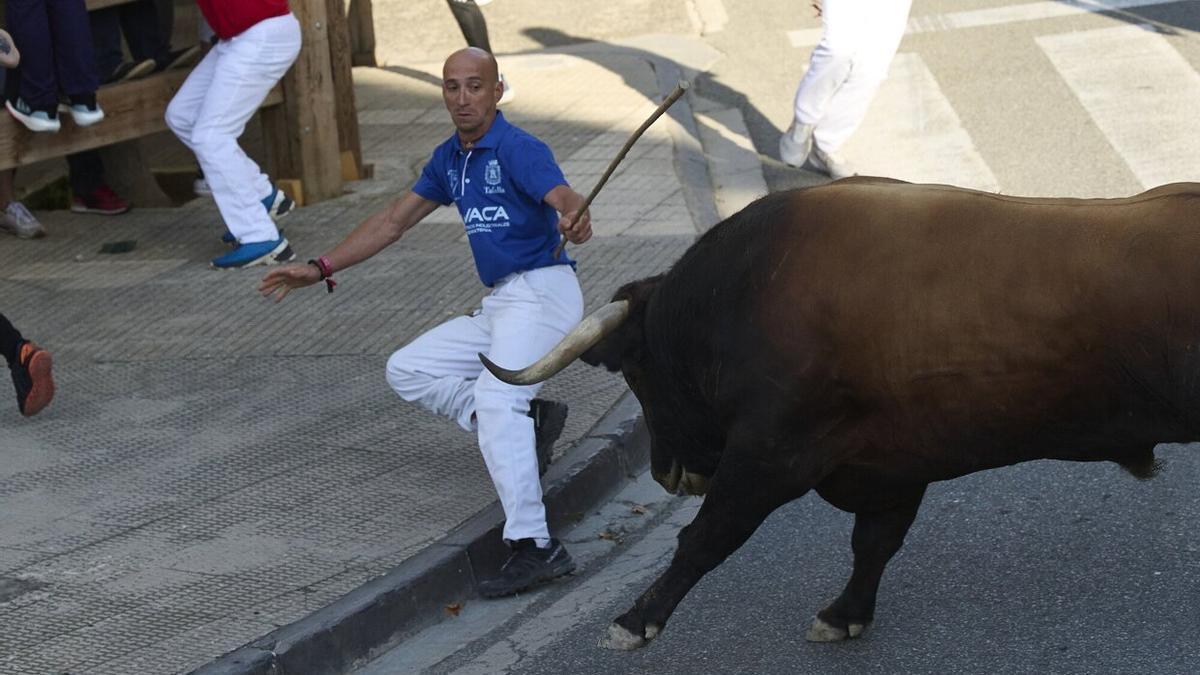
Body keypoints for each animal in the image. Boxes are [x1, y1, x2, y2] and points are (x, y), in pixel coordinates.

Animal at [477, 177, 1200, 648]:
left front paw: (634, 621)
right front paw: (846, 612)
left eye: (637, 372)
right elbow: (874, 541)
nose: (664, 474)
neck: (737, 293)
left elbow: (706, 537)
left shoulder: (769, 455)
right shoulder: (893, 460)